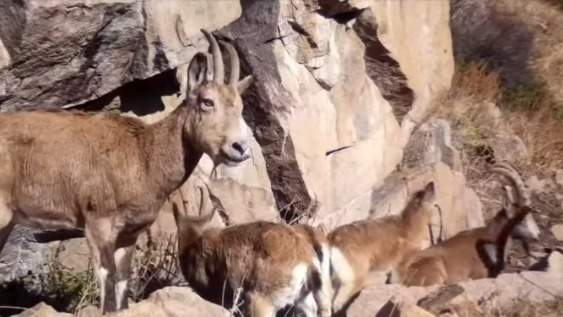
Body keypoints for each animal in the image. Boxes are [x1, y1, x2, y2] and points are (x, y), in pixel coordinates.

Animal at [0, 29, 253, 312]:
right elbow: (107, 280)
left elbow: (121, 282)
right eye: (207, 102)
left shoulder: (129, 234)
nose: (240, 147)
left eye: (240, 106)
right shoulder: (98, 222)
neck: (143, 154)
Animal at [326, 181, 436, 312]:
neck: (411, 225)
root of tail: (332, 238)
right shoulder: (402, 261)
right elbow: (398, 279)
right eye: (425, 193)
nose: (432, 183)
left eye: (420, 190)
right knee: (342, 294)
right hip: (355, 269)